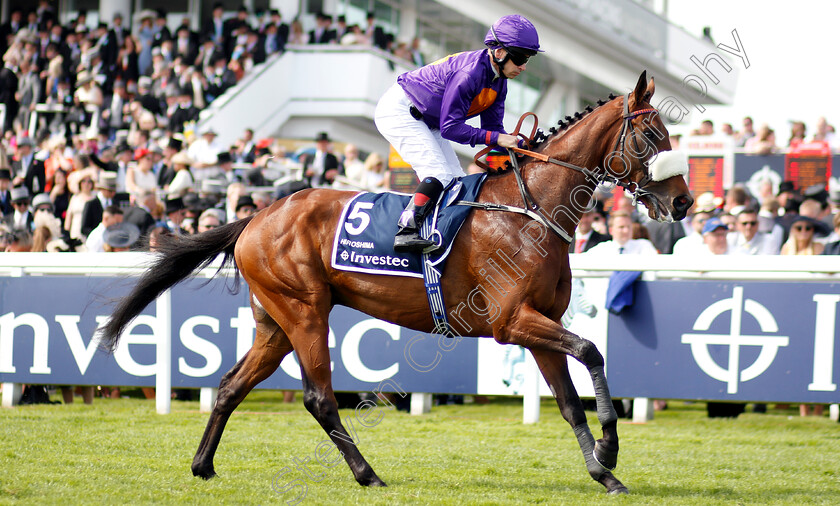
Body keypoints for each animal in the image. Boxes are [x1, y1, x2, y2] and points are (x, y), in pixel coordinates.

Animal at [100, 71, 688, 494]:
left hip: (274, 321)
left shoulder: (539, 323)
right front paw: (610, 448)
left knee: (230, 386)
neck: (530, 208)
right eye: (650, 135)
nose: (683, 200)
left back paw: (202, 465)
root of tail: (258, 216)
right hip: (305, 310)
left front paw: (604, 473)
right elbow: (591, 350)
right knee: (319, 397)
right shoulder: (510, 321)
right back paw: (367, 474)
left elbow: (568, 401)